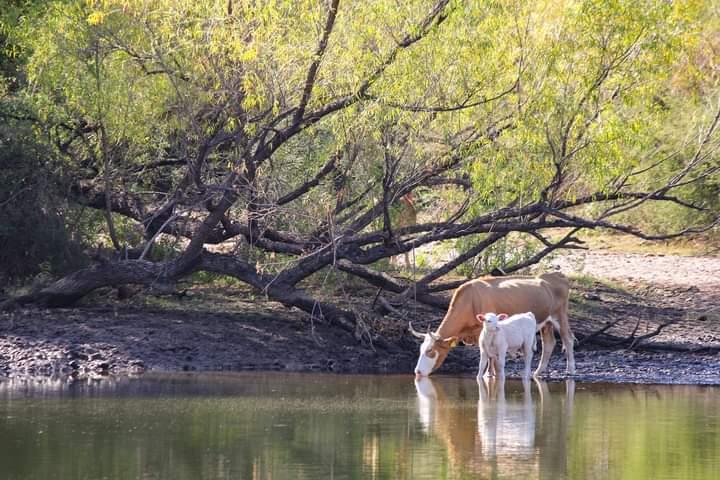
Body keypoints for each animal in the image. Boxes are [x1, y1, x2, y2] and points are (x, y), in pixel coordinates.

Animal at [410, 272, 572, 376]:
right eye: (420, 349)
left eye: (430, 351)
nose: (417, 372)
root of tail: (556, 275)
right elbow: (488, 356)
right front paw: (489, 374)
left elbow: (493, 358)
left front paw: (491, 375)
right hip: (546, 322)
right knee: (549, 343)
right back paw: (538, 372)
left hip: (559, 314)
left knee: (568, 339)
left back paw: (570, 370)